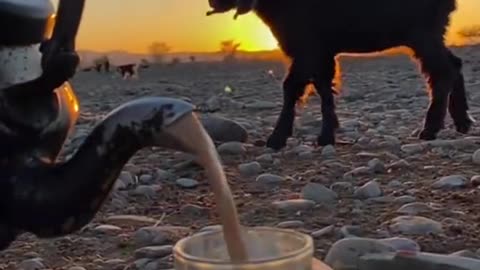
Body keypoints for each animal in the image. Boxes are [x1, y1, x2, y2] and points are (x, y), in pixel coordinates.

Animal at [208, 0, 474, 150]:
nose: (213, 2)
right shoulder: (321, 51)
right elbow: (323, 87)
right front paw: (327, 135)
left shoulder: (307, 47)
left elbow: (292, 87)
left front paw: (277, 138)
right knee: (454, 64)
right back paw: (462, 122)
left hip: (422, 34)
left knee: (443, 71)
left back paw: (431, 129)